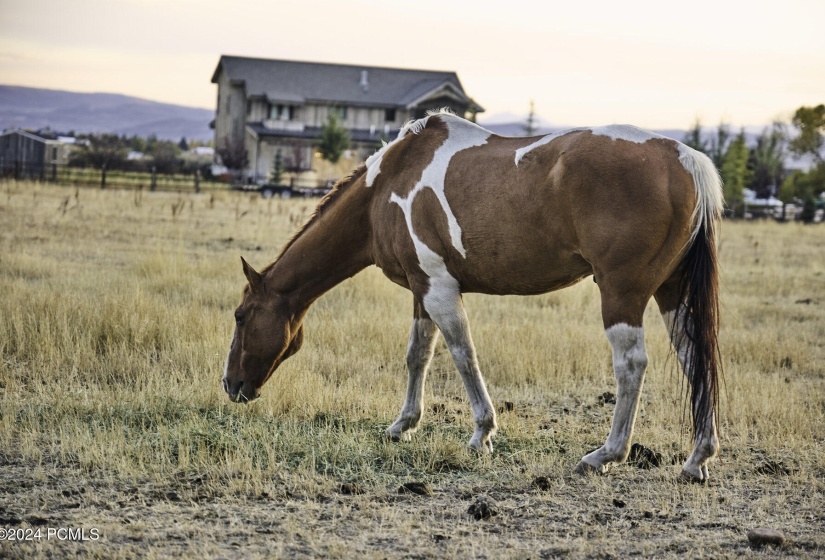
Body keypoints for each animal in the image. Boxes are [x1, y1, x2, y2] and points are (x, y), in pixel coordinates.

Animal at [220, 108, 720, 482]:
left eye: (241, 316)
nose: (230, 385)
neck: (386, 186)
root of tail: (682, 157)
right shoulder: (422, 290)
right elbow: (418, 356)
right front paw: (403, 424)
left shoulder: (440, 290)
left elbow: (463, 355)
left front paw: (482, 433)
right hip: (671, 294)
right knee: (694, 358)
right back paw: (697, 459)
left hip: (622, 294)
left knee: (631, 364)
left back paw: (605, 454)